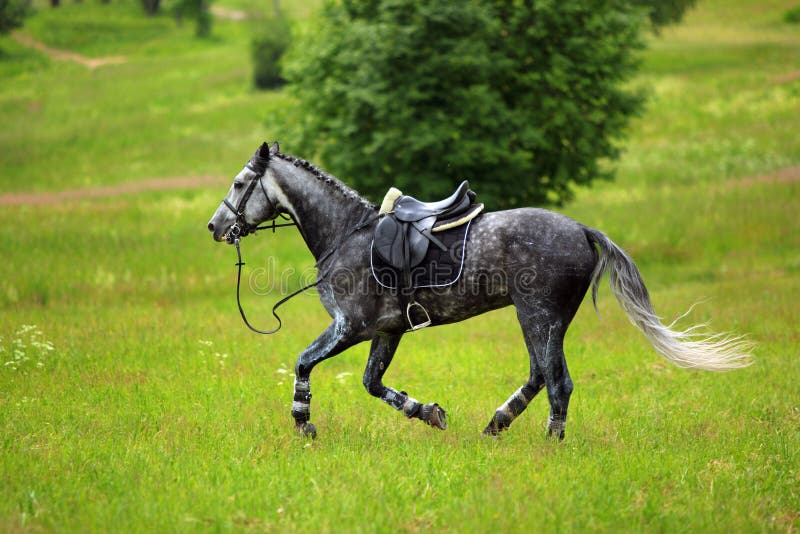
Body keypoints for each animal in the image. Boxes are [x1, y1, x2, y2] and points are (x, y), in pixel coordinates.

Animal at [206, 142, 752, 440]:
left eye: (238, 183)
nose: (214, 227)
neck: (347, 233)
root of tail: (581, 229)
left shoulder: (351, 326)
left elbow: (303, 363)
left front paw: (304, 423)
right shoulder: (386, 331)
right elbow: (373, 384)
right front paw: (429, 413)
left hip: (537, 314)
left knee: (556, 382)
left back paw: (548, 443)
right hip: (545, 319)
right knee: (541, 376)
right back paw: (497, 422)